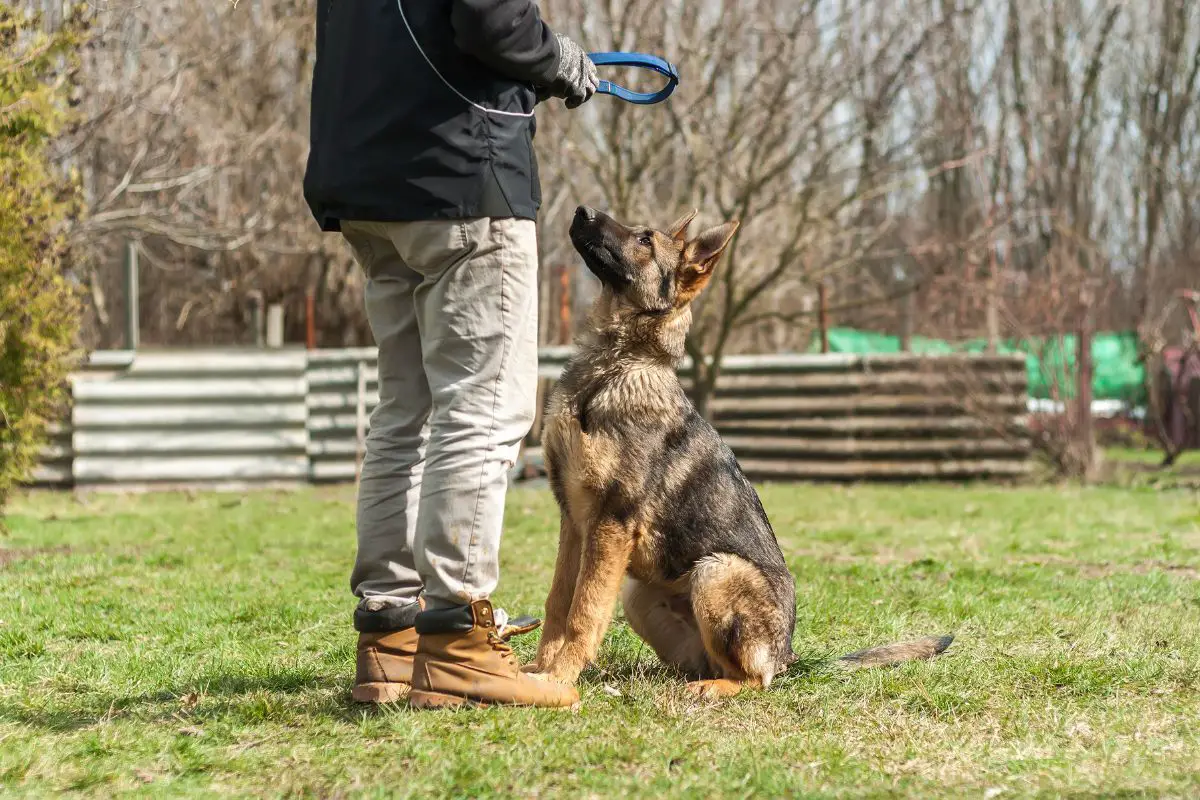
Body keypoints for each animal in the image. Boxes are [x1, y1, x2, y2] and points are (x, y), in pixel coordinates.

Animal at [530, 208, 950, 700]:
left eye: (644, 240)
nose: (582, 211)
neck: (613, 365)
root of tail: (789, 656)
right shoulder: (574, 522)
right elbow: (558, 604)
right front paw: (537, 672)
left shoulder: (611, 521)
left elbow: (584, 612)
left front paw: (559, 678)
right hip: (639, 594)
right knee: (706, 665)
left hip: (715, 571)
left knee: (753, 679)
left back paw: (710, 689)